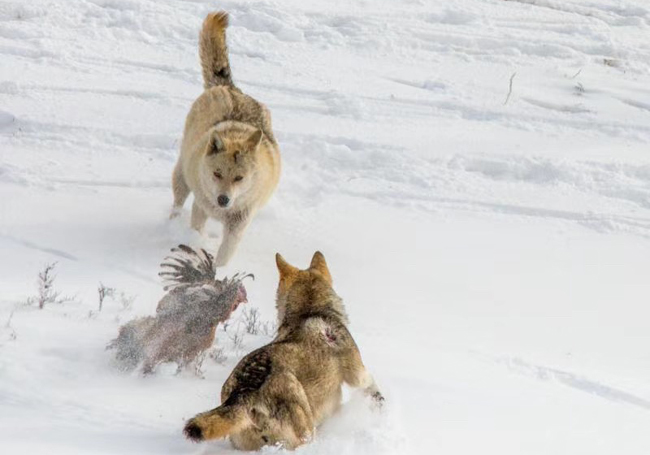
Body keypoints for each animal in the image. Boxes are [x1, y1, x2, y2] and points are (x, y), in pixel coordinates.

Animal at [170, 11, 278, 268]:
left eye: (239, 178)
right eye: (217, 174)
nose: (223, 200)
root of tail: (230, 87)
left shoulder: (239, 223)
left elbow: (225, 254)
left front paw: (219, 271)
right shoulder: (200, 206)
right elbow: (197, 231)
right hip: (183, 176)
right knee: (177, 202)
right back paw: (171, 225)